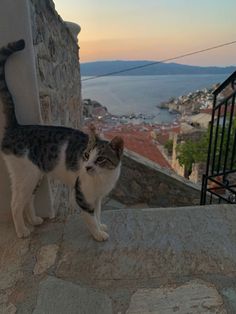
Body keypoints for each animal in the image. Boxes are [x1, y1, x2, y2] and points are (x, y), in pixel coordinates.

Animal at [0, 39, 124, 240]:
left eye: (100, 159)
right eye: (86, 155)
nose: (87, 167)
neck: (103, 177)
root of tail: (17, 127)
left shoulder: (98, 198)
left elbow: (97, 214)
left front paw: (101, 226)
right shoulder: (82, 195)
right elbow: (90, 218)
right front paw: (98, 235)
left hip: (36, 176)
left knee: (28, 200)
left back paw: (34, 220)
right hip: (25, 175)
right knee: (16, 204)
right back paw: (22, 231)